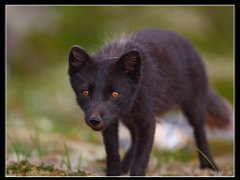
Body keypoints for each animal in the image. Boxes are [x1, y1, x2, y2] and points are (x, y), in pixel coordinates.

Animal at [67, 28, 231, 176]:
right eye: (85, 92)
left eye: (115, 94)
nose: (94, 120)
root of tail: (191, 47)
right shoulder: (111, 122)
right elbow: (113, 153)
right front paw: (114, 172)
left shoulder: (147, 121)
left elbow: (141, 158)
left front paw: (135, 172)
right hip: (130, 121)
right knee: (134, 139)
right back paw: (124, 166)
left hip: (193, 107)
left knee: (199, 130)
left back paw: (208, 165)